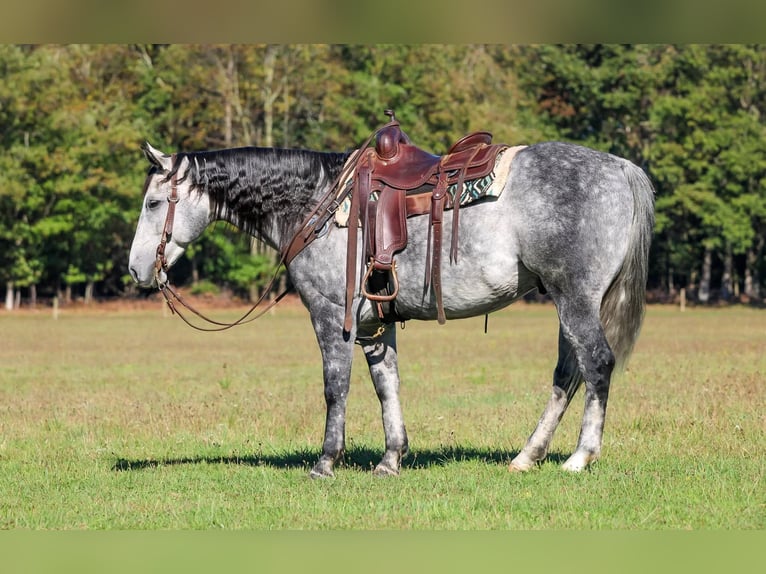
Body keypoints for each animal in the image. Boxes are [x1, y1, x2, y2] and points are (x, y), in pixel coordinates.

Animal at [128, 134, 655, 478]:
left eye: (153, 203)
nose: (135, 269)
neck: (315, 203)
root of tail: (619, 168)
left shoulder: (330, 316)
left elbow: (335, 387)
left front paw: (326, 462)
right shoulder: (375, 325)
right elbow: (387, 386)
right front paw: (391, 458)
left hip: (575, 299)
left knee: (596, 364)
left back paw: (580, 457)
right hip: (568, 303)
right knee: (567, 372)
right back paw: (527, 455)